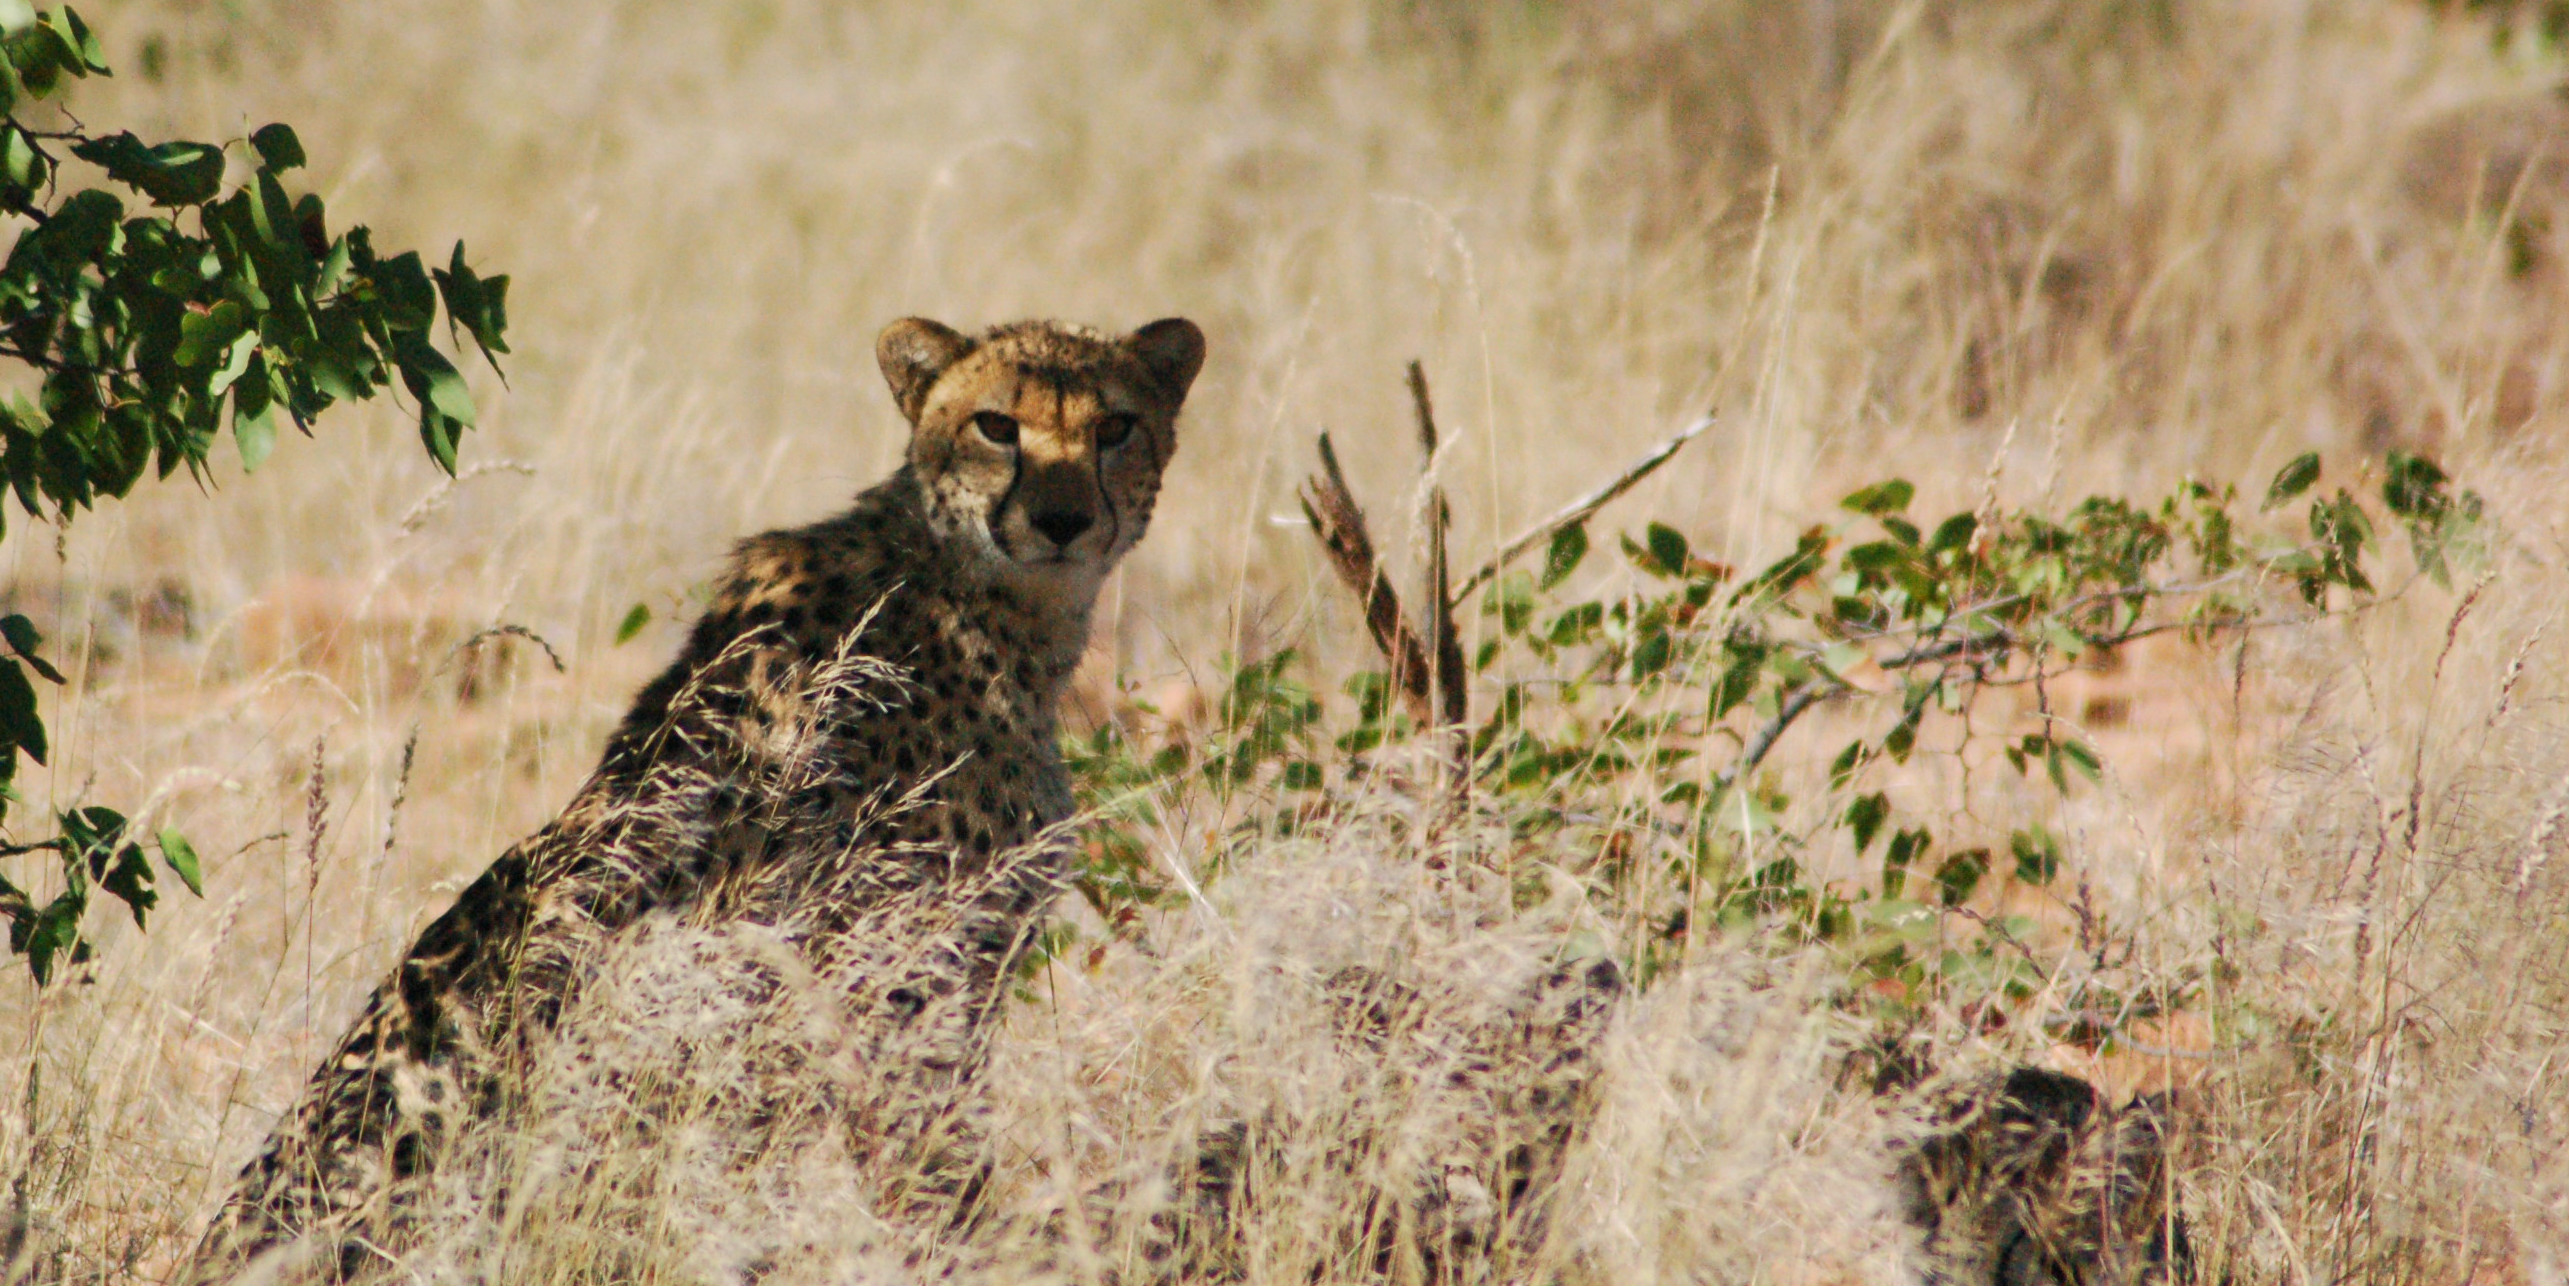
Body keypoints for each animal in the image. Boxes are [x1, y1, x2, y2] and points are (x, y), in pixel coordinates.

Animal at [186, 315, 1207, 1278]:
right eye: (997, 425)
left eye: (1114, 427)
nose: (1063, 519)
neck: (979, 599)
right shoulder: (896, 988)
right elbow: (935, 1175)